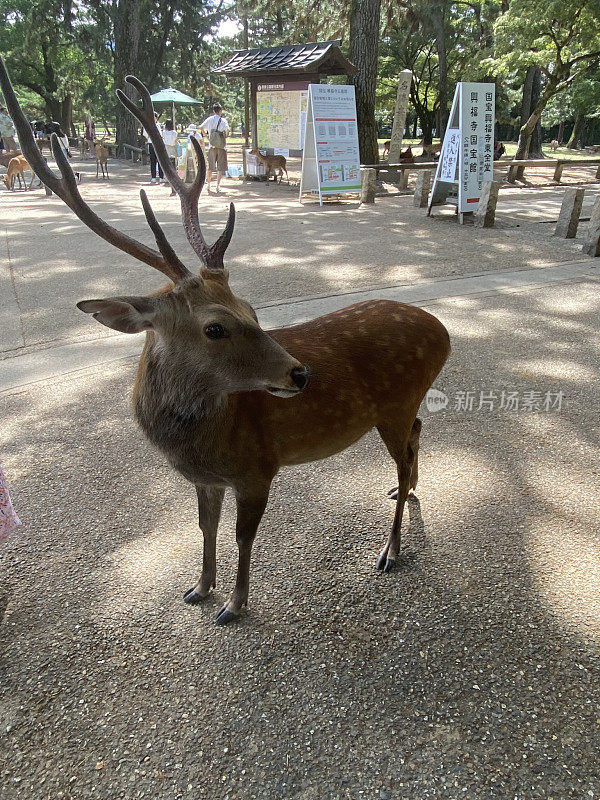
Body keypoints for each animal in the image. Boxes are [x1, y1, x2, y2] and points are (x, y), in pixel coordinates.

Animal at [0, 59, 450, 628]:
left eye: (254, 311)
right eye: (216, 326)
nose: (300, 373)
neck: (203, 443)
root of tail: (444, 332)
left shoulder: (259, 466)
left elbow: (243, 536)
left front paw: (234, 605)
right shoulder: (206, 478)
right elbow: (206, 527)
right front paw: (199, 587)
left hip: (396, 401)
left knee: (407, 444)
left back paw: (390, 549)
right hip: (398, 408)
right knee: (417, 435)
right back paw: (404, 492)